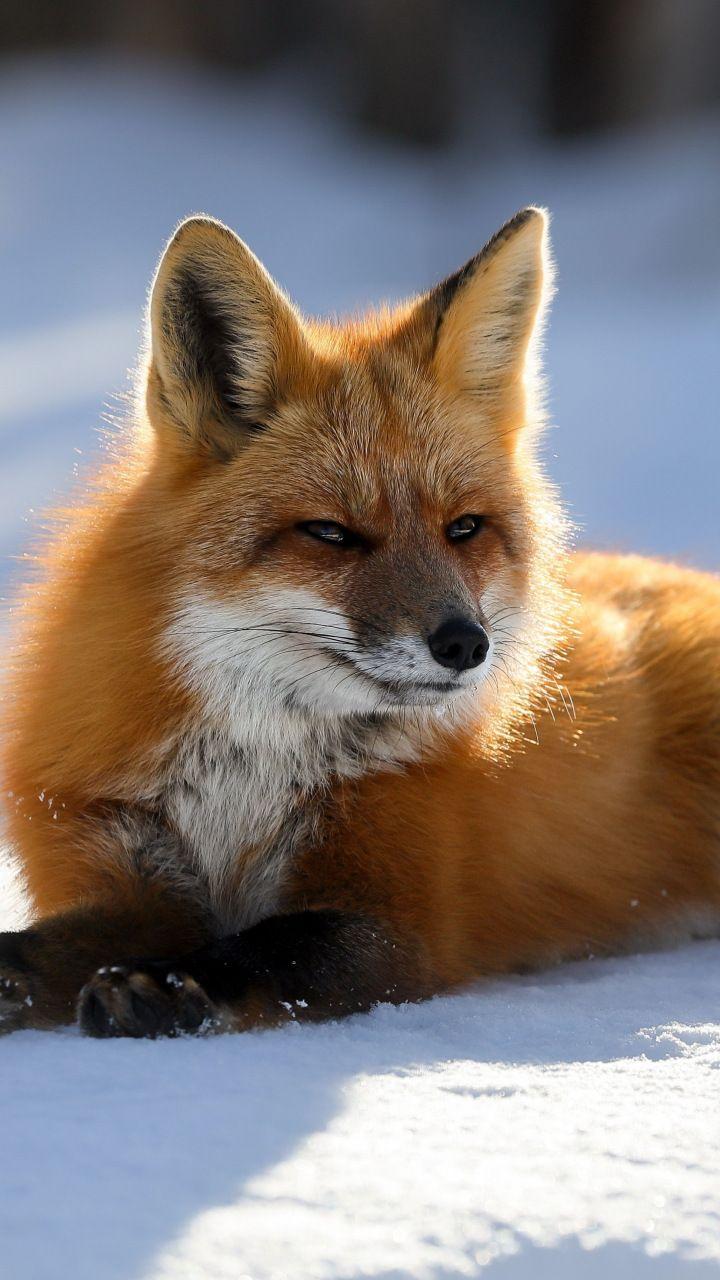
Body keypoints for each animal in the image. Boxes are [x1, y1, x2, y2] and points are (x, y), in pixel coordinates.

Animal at [0, 207, 718, 1038]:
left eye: (463, 529)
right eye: (331, 533)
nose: (464, 644)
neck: (238, 786)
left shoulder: (392, 916)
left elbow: (262, 948)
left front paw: (168, 983)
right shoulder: (126, 876)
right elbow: (32, 952)